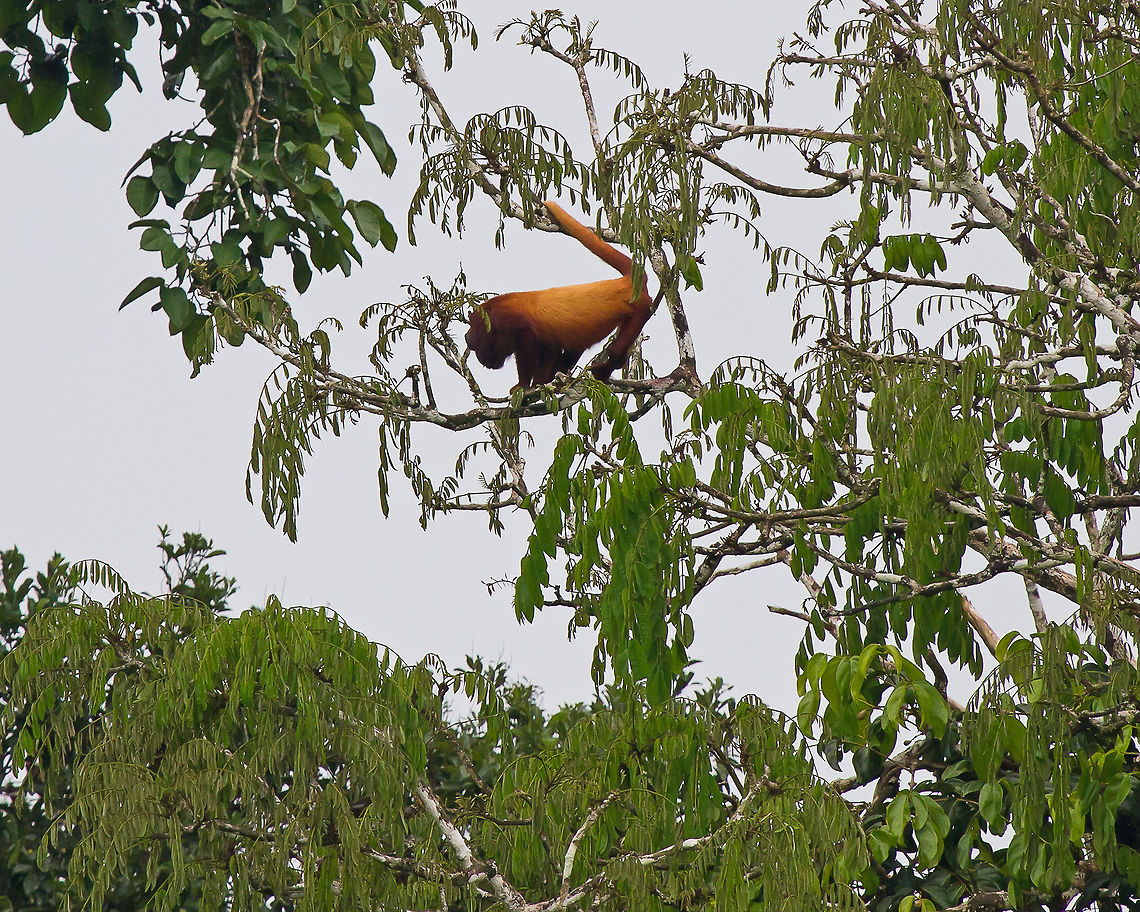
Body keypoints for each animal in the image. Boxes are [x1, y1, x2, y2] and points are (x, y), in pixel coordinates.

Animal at [464, 201, 653, 389]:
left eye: (471, 324)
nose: (467, 337)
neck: (493, 312)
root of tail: (625, 282)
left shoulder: (508, 320)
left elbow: (526, 338)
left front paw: (523, 385)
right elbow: (551, 350)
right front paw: (541, 382)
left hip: (640, 310)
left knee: (616, 352)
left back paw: (603, 370)